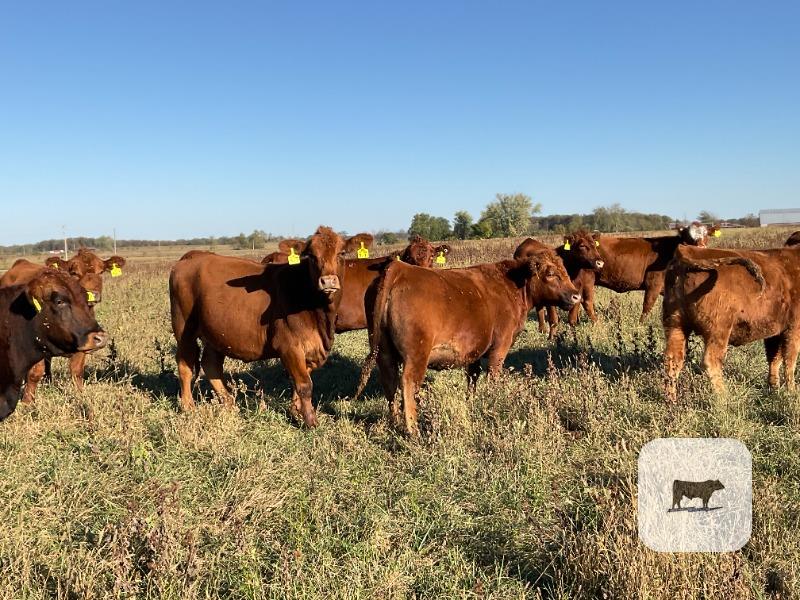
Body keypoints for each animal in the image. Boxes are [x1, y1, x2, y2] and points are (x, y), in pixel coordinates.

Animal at [0, 250, 125, 403]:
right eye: (74, 272)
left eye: (101, 271)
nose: (94, 295)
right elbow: (35, 373)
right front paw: (27, 402)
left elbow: (77, 372)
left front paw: (81, 396)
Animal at [169, 226, 369, 427]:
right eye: (311, 255)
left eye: (341, 253)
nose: (328, 281)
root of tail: (193, 257)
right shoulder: (289, 346)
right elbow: (304, 385)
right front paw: (310, 421)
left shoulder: (310, 348)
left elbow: (299, 382)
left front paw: (296, 412)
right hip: (184, 328)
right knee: (185, 365)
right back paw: (188, 407)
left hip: (216, 333)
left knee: (211, 364)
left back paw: (229, 404)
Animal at [355, 248, 581, 436]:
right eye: (550, 273)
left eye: (565, 271)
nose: (576, 295)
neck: (511, 285)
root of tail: (400, 269)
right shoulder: (500, 346)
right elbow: (493, 376)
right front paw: (494, 402)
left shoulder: (474, 351)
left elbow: (472, 378)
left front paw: (472, 402)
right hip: (416, 354)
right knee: (408, 384)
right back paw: (413, 430)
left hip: (384, 352)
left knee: (390, 382)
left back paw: (394, 422)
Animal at [572, 222, 718, 324]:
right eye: (688, 239)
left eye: (706, 235)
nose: (700, 248)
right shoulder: (654, 283)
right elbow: (647, 305)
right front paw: (640, 324)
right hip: (588, 280)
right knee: (587, 302)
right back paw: (596, 323)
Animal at [661, 243, 794, 401]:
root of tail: (686, 250)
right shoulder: (793, 328)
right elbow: (789, 361)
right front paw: (791, 393)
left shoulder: (775, 332)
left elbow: (774, 359)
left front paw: (774, 389)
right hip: (719, 329)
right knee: (711, 361)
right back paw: (724, 397)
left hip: (675, 325)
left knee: (673, 360)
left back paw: (671, 400)